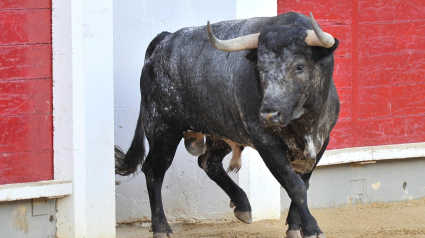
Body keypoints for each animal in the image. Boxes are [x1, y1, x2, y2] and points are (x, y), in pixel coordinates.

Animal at [115, 11, 338, 238]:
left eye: (299, 66)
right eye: (260, 68)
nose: (268, 115)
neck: (306, 123)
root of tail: (164, 39)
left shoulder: (323, 140)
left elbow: (304, 183)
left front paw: (294, 226)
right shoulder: (266, 142)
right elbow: (294, 184)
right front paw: (312, 228)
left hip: (219, 130)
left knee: (208, 162)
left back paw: (242, 205)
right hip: (161, 129)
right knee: (153, 171)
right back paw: (161, 226)